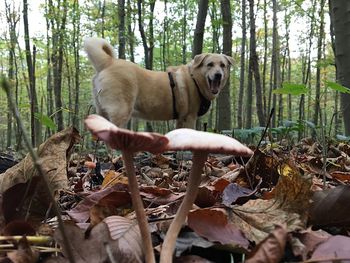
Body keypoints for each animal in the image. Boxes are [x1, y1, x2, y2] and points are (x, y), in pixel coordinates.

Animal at [83, 37, 234, 130]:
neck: (194, 78)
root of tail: (108, 62)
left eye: (223, 65)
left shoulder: (180, 119)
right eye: (210, 64)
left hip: (102, 111)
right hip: (120, 111)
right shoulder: (190, 117)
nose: (218, 75)